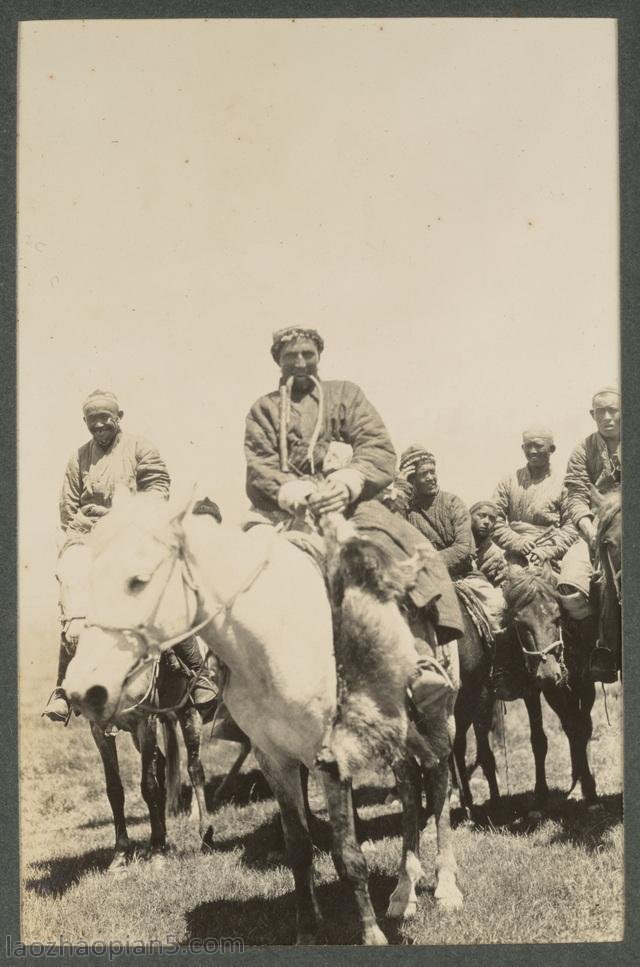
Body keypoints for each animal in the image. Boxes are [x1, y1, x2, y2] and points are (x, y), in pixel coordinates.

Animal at [65, 496, 462, 940]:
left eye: (139, 579)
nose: (82, 689)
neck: (273, 640)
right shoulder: (274, 759)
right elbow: (299, 848)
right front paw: (308, 931)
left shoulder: (330, 760)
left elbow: (348, 855)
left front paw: (371, 935)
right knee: (410, 791)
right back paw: (403, 893)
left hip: (438, 723)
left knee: (439, 787)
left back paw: (446, 887)